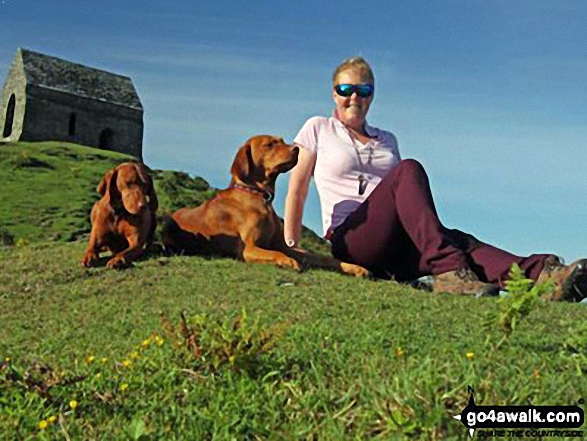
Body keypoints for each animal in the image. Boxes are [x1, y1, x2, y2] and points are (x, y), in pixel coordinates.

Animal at [163, 136, 370, 276]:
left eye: (282, 141)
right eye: (269, 144)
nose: (297, 149)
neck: (258, 196)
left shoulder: (284, 245)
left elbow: (322, 257)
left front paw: (353, 267)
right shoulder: (248, 249)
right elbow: (277, 253)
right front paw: (287, 261)